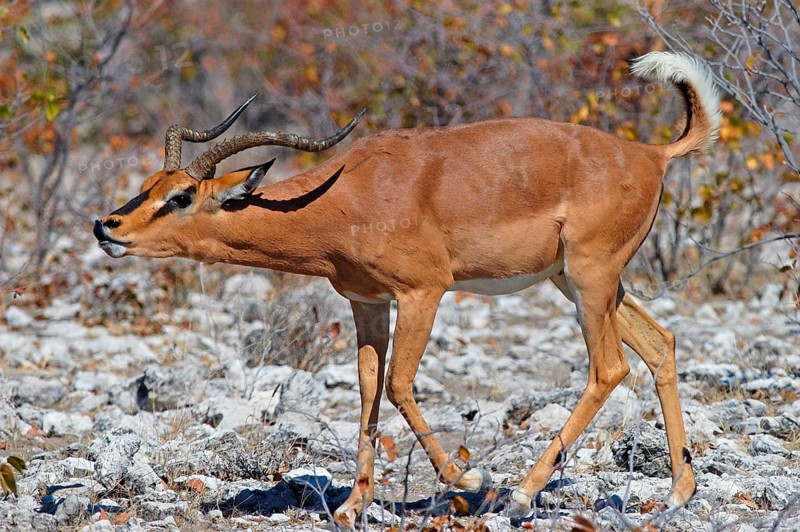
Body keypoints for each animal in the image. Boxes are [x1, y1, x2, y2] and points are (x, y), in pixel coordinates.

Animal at [94, 51, 720, 525]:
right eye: (150, 183)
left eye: (181, 197)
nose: (106, 226)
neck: (349, 196)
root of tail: (651, 154)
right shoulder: (367, 302)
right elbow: (369, 390)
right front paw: (352, 506)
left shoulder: (424, 292)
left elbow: (398, 384)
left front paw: (469, 476)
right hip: (579, 281)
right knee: (660, 343)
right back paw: (677, 492)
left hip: (591, 278)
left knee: (609, 367)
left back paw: (519, 494)